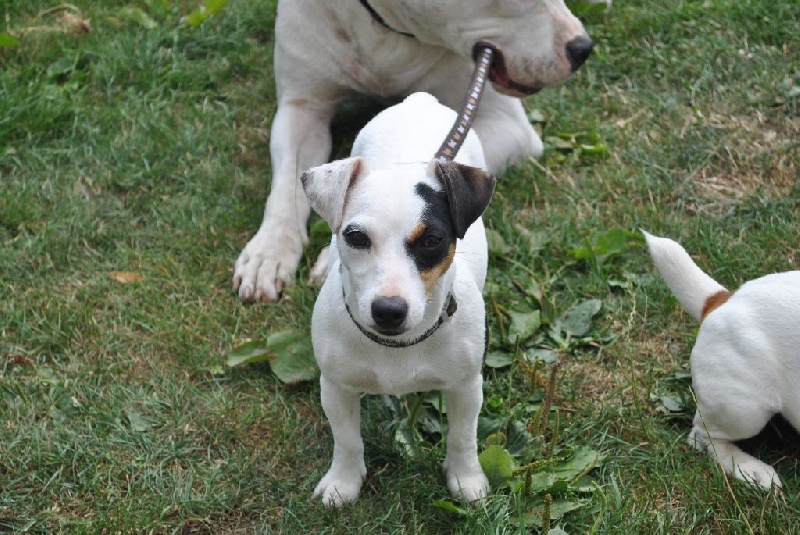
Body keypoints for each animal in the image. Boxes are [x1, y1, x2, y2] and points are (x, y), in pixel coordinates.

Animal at [304, 94, 496, 508]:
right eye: (356, 237)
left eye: (432, 240)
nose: (389, 311)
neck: (397, 346)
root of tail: (419, 100)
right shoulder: (336, 386)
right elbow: (346, 440)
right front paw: (343, 482)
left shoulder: (466, 386)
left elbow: (463, 437)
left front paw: (466, 478)